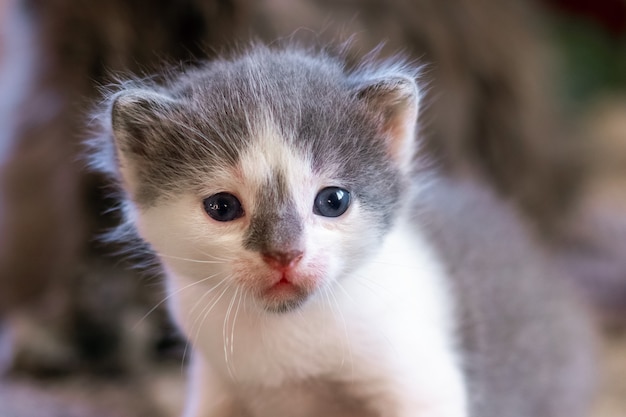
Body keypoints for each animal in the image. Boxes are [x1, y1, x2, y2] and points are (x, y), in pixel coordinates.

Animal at [92, 46, 588, 416]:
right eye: (222, 207)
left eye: (332, 201)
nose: (284, 253)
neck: (283, 340)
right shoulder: (215, 381)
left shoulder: (422, 383)